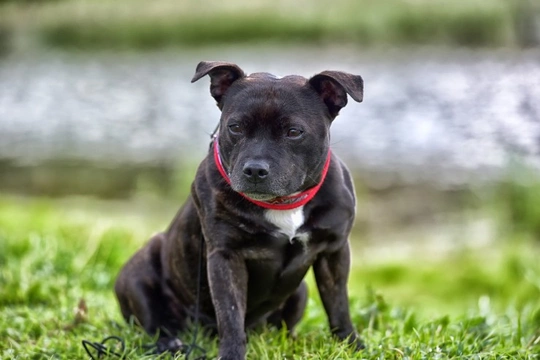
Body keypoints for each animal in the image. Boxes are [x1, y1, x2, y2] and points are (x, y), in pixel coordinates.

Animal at [115, 60, 364, 358]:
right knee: (155, 322)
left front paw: (350, 343)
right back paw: (169, 343)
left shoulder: (333, 251)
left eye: (294, 132)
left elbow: (338, 304)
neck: (283, 203)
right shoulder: (226, 257)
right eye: (235, 127)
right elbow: (231, 315)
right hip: (138, 273)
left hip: (300, 292)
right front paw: (232, 353)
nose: (255, 169)